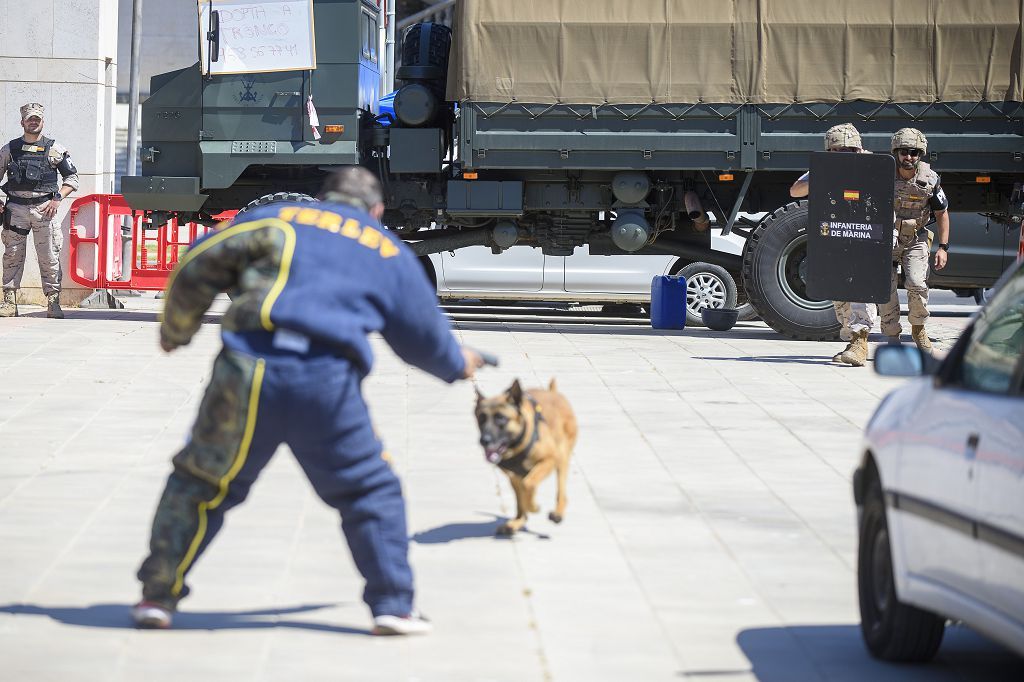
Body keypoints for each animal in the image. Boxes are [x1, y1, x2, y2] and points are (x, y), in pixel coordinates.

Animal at [477, 376, 581, 532]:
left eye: (501, 418)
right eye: (481, 418)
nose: (484, 440)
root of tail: (553, 393)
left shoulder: (548, 460)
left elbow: (529, 485)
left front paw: (534, 507)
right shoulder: (514, 477)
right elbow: (521, 500)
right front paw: (519, 520)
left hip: (561, 458)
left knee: (560, 491)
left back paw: (558, 512)